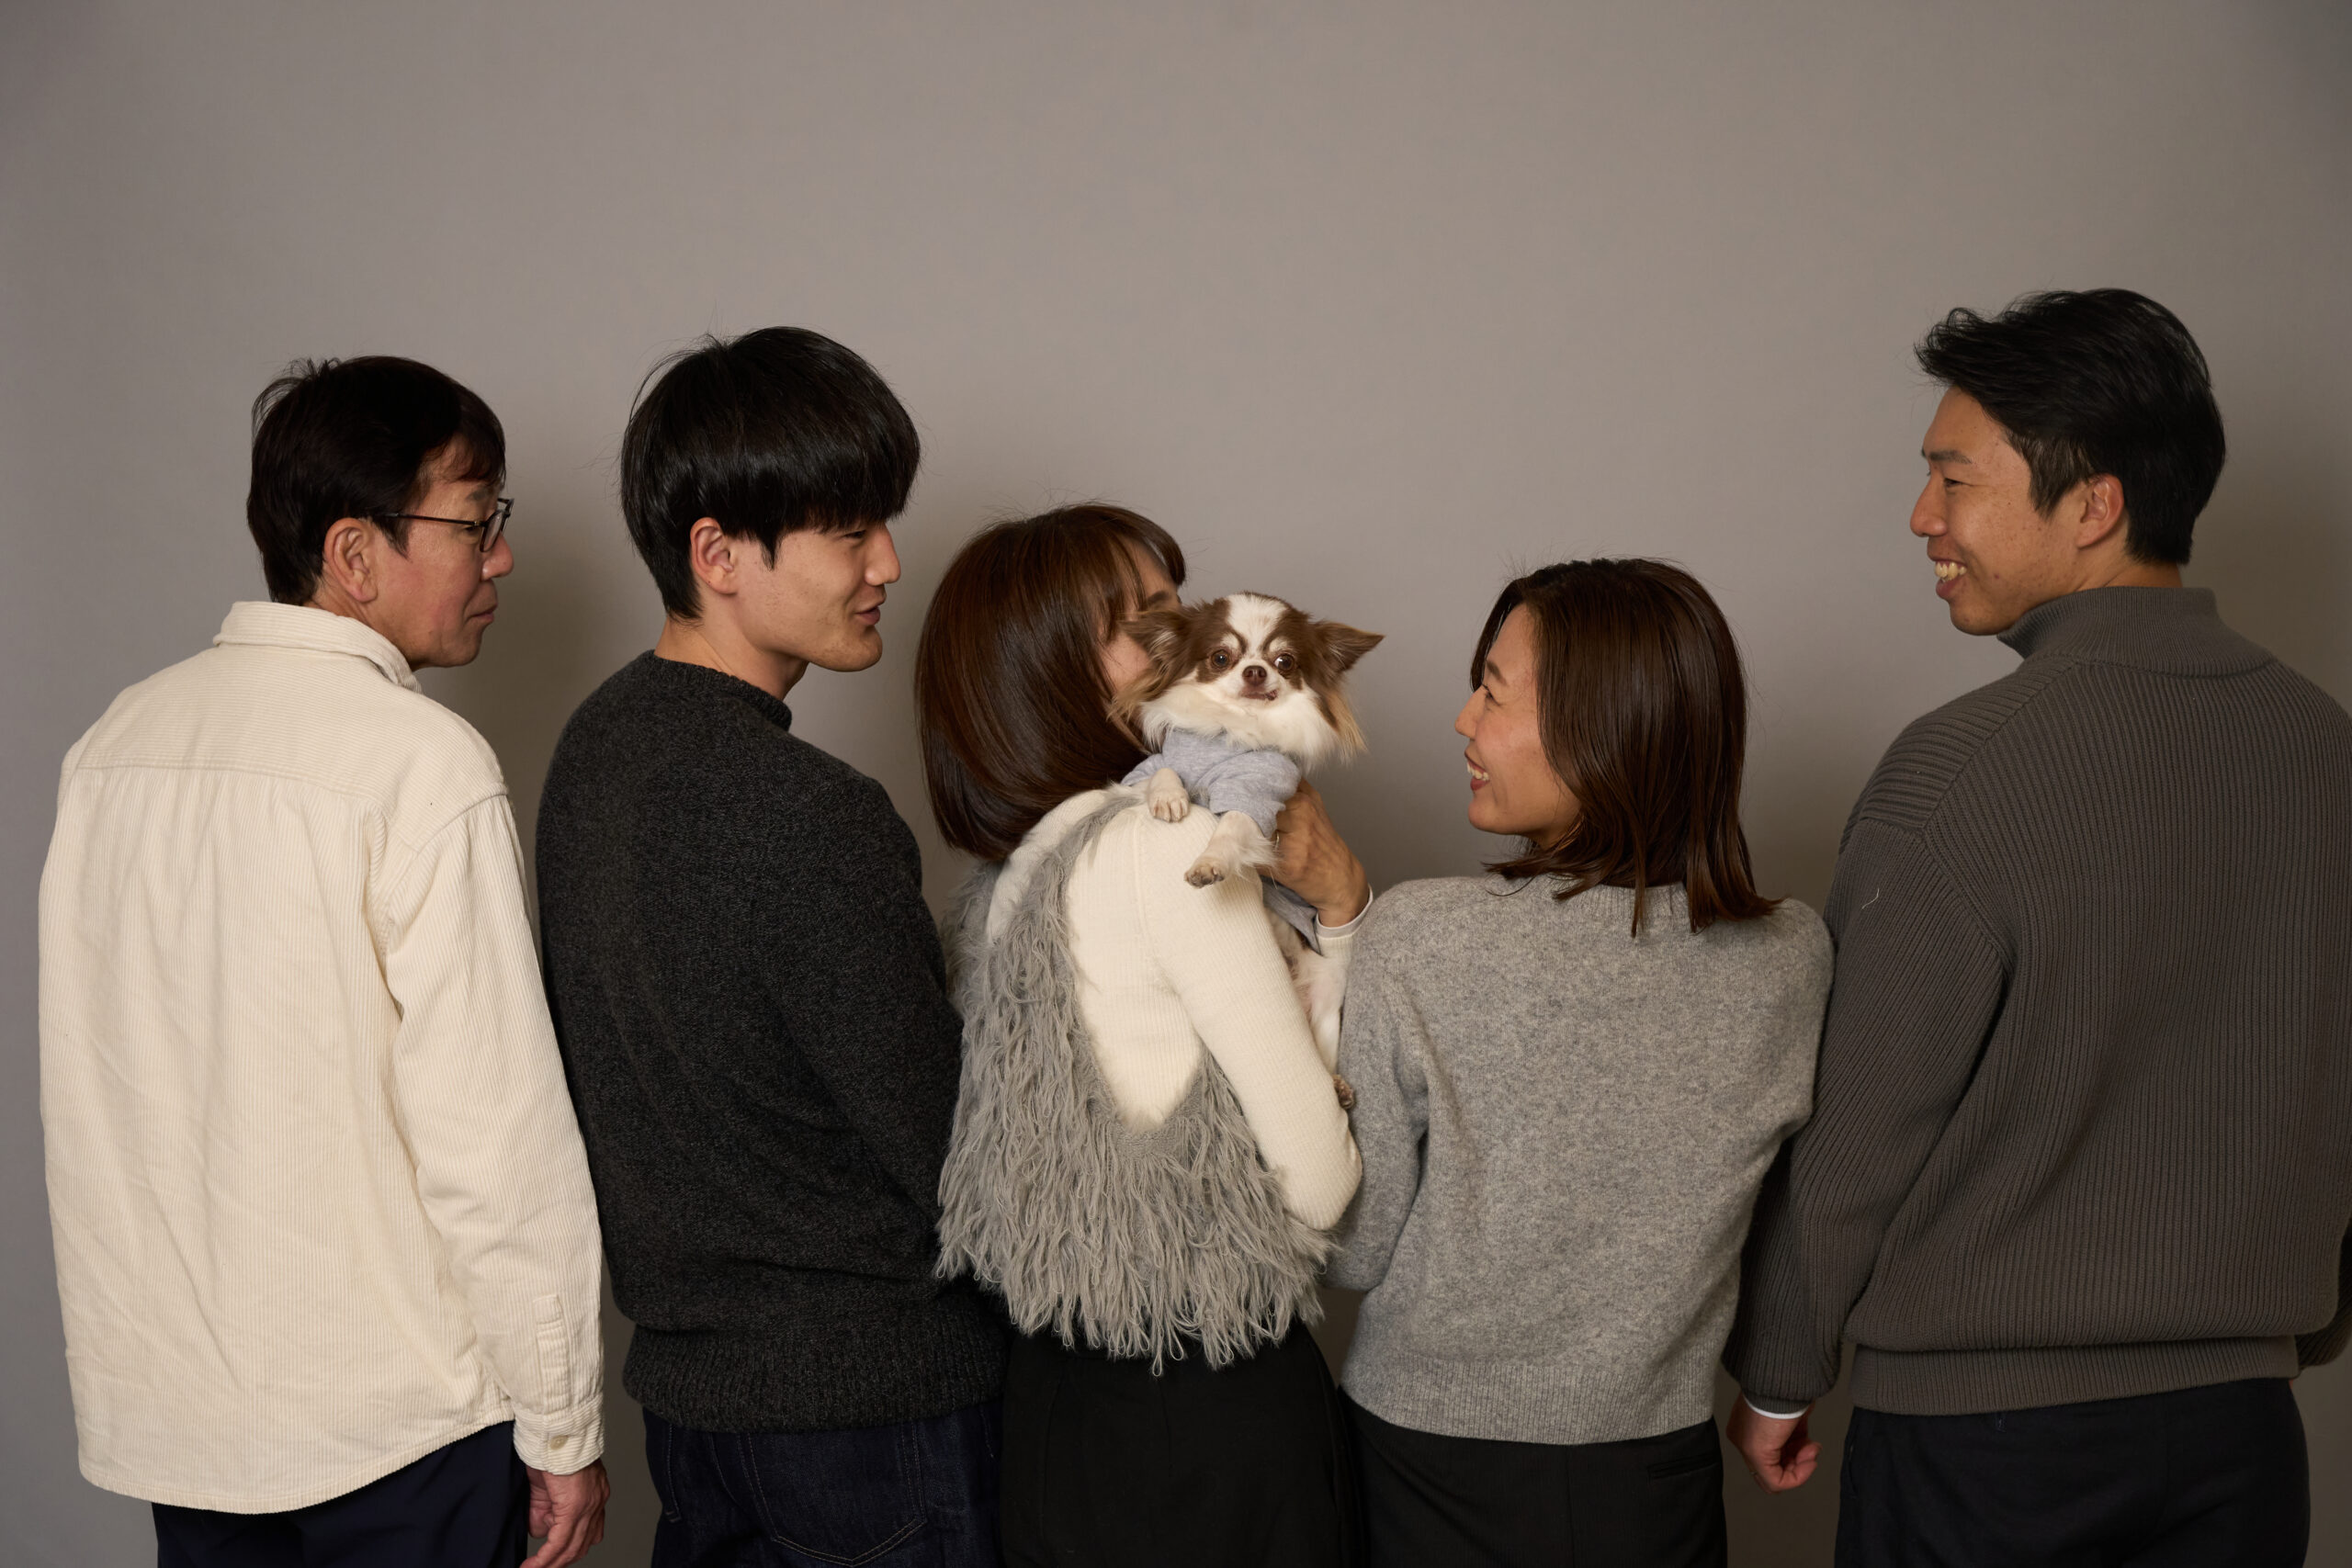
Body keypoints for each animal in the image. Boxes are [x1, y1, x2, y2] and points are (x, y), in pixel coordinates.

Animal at [1113, 593, 1382, 1075]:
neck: (1232, 729)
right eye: (1221, 657)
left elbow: (1233, 825)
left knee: (1322, 1048)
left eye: (1285, 661)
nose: (1256, 671)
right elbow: (1162, 771)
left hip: (1328, 987)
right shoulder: (1152, 767)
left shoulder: (1259, 791)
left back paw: (1337, 1083)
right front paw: (1169, 799)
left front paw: (1210, 862)